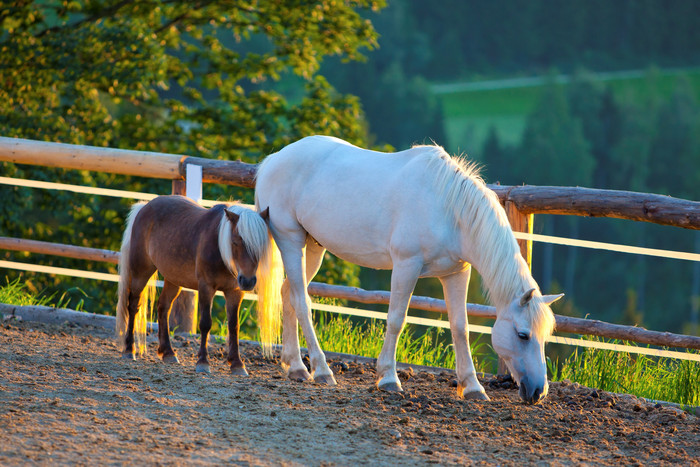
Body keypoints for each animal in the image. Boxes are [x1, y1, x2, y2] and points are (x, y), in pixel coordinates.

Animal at [115, 196, 282, 374]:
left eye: (261, 245)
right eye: (235, 242)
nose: (248, 281)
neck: (219, 248)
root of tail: (144, 207)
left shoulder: (235, 292)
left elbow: (234, 326)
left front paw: (237, 364)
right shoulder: (206, 287)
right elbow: (205, 323)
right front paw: (203, 362)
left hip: (173, 279)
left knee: (163, 307)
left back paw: (168, 352)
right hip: (141, 272)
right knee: (133, 305)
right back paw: (129, 349)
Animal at [254, 136, 560, 406]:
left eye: (545, 336)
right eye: (523, 334)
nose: (538, 392)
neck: (448, 209)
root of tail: (272, 160)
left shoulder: (456, 274)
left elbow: (460, 328)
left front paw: (473, 387)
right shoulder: (406, 265)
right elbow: (396, 319)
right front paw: (389, 379)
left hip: (314, 247)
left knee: (289, 293)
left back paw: (296, 367)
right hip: (290, 239)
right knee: (302, 301)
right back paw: (322, 371)